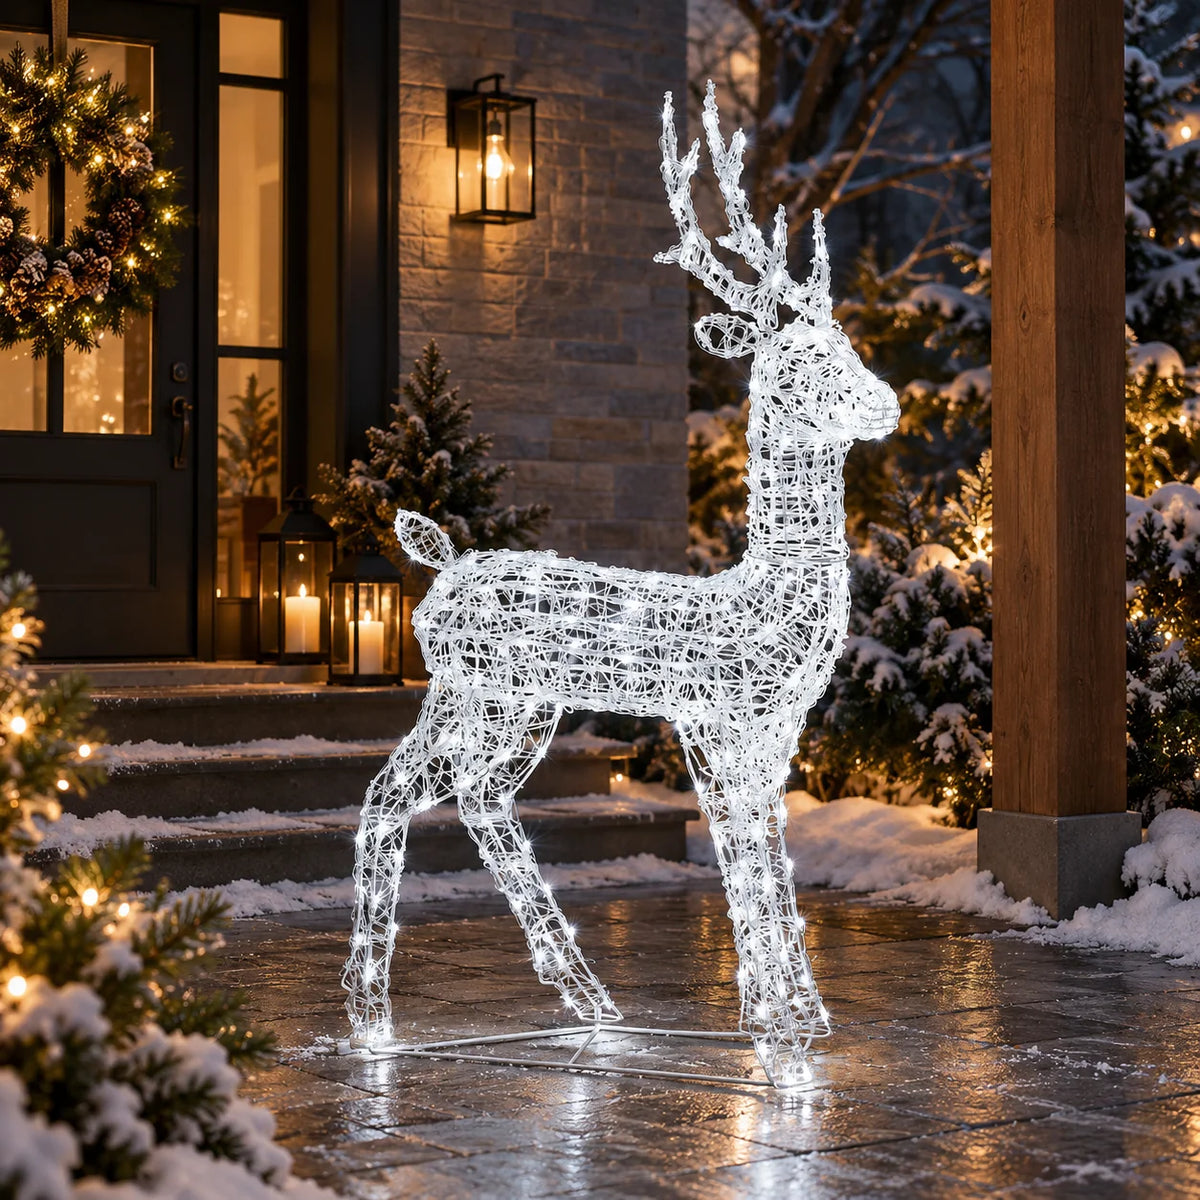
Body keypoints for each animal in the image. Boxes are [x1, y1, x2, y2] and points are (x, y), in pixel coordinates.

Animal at [342, 82, 899, 1088]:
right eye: (802, 360)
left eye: (846, 340)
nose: (887, 404)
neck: (764, 599)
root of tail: (442, 563)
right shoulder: (718, 720)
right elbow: (746, 852)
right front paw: (778, 1029)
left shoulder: (777, 732)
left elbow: (771, 852)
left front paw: (800, 1016)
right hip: (487, 694)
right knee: (418, 797)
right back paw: (394, 1018)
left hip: (499, 703)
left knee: (439, 795)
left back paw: (551, 1007)